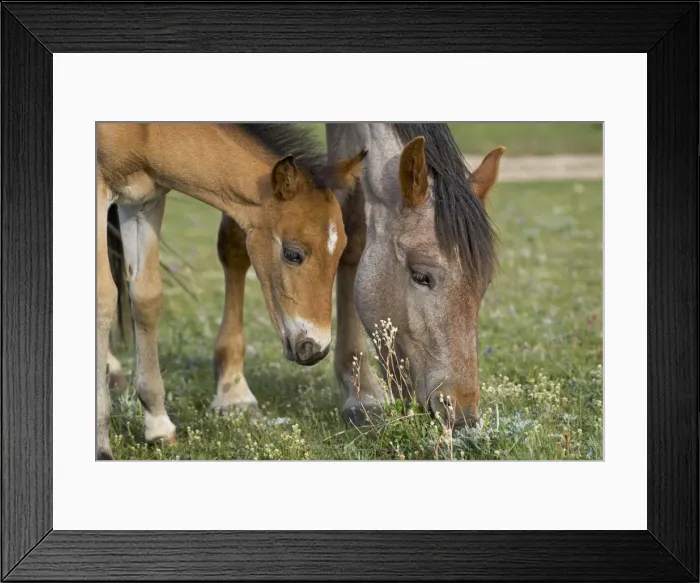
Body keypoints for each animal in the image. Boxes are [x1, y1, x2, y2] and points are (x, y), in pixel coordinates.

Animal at [97, 123, 366, 459]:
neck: (145, 133)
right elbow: (102, 299)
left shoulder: (143, 200)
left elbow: (146, 298)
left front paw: (158, 426)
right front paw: (101, 446)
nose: (314, 348)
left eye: (341, 250)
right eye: (292, 253)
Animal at [214, 124, 504, 430]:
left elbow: (352, 231)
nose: (462, 414)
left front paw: (361, 391)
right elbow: (236, 234)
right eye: (421, 276)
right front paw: (233, 392)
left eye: (483, 286)